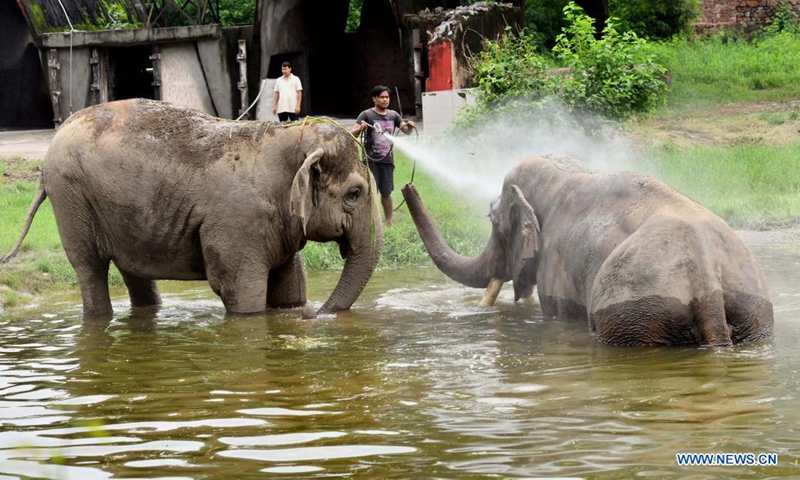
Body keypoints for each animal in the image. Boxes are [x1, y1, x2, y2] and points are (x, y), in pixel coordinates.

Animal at [2, 98, 382, 317]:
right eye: (354, 193)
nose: (317, 315)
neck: (290, 136)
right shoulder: (237, 223)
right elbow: (240, 293)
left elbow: (289, 286)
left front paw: (294, 312)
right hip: (72, 197)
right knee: (90, 268)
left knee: (133, 271)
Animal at [402, 154, 773, 346]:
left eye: (492, 218)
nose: (407, 185)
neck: (563, 173)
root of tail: (707, 281)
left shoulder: (556, 271)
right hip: (752, 312)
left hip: (634, 315)